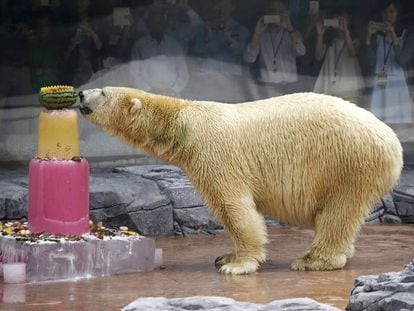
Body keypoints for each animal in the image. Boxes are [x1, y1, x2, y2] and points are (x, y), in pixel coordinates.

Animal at [79, 88, 402, 276]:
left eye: (104, 92)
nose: (81, 93)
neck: (184, 120)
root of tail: (393, 142)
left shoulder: (214, 155)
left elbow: (233, 207)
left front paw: (237, 265)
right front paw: (225, 256)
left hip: (346, 163)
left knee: (337, 212)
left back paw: (312, 260)